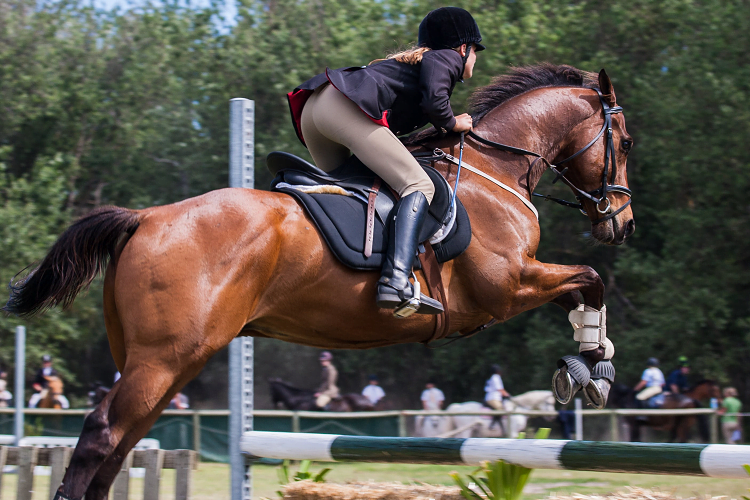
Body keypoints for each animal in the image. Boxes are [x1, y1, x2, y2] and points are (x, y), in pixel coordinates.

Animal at [4, 64, 635, 500]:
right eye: (625, 143)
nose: (621, 223)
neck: (493, 172)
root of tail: (146, 218)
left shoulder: (517, 285)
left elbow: (582, 286)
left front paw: (591, 360)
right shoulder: (504, 288)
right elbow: (589, 279)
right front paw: (591, 368)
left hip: (162, 361)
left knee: (122, 441)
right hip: (163, 357)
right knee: (102, 432)